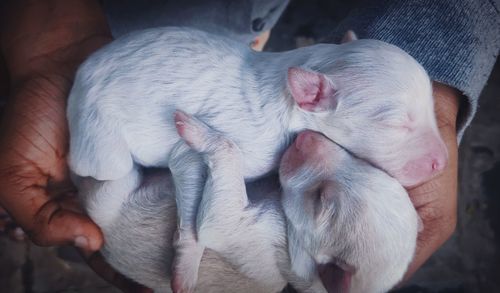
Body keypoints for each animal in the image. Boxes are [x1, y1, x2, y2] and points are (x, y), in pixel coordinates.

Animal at [66, 26, 446, 290]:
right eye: (396, 123)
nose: (441, 162)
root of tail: (80, 77)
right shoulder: (212, 143)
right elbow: (189, 163)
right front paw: (187, 263)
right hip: (100, 139)